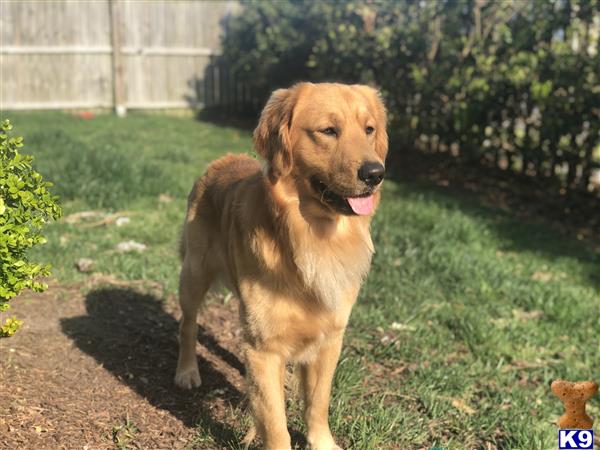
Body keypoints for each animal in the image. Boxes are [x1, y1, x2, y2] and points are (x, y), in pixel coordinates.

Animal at [173, 82, 390, 448]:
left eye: (369, 129)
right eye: (328, 131)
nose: (375, 174)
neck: (312, 237)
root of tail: (220, 161)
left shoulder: (329, 339)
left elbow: (317, 402)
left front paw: (322, 441)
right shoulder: (263, 348)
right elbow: (275, 422)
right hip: (193, 274)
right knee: (187, 325)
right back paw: (187, 371)